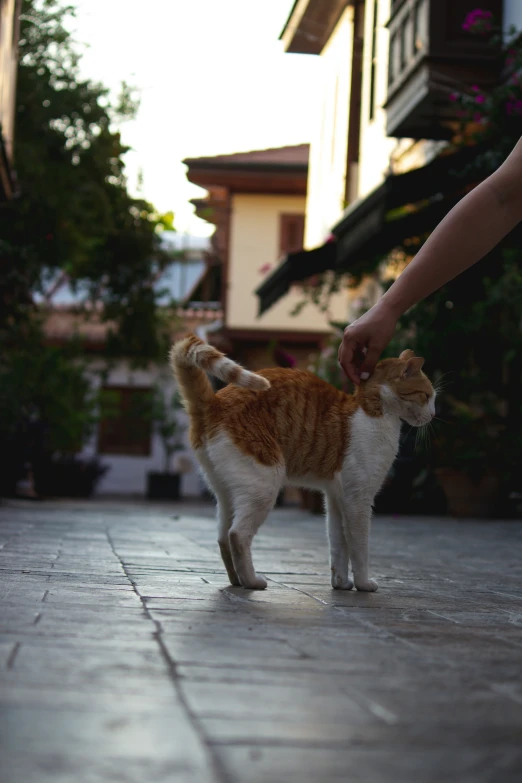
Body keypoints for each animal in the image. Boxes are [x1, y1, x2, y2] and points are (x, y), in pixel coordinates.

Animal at [169, 336, 432, 596]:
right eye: (428, 396)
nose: (433, 414)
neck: (375, 413)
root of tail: (213, 403)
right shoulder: (358, 500)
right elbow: (359, 548)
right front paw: (364, 583)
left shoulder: (336, 499)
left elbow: (338, 545)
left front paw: (341, 583)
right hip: (263, 486)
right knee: (237, 535)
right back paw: (252, 581)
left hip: (227, 494)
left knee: (223, 537)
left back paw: (237, 580)